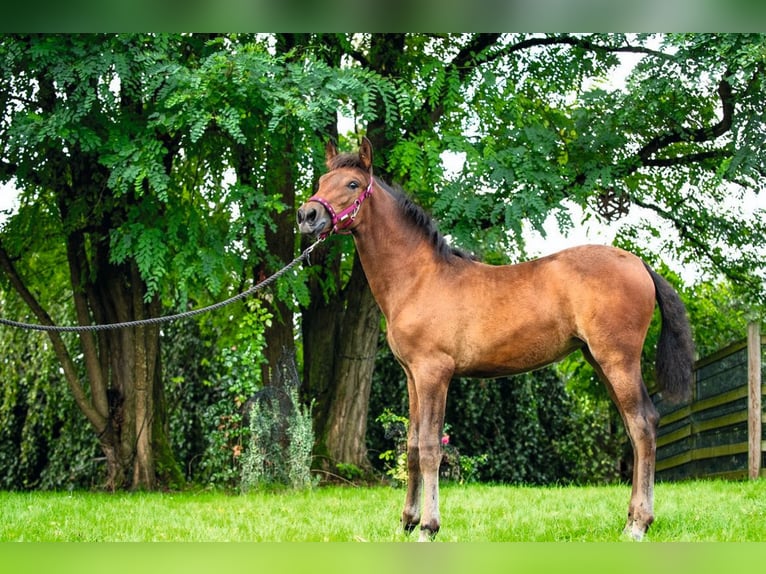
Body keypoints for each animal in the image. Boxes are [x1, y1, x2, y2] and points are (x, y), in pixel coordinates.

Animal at [298, 137, 696, 544]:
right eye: (322, 180)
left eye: (352, 184)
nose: (307, 215)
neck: (419, 278)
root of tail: (639, 264)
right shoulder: (412, 376)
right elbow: (410, 446)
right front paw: (407, 522)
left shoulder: (433, 374)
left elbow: (430, 447)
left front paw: (428, 527)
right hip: (598, 361)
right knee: (635, 428)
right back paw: (631, 519)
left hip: (618, 360)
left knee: (643, 425)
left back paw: (639, 524)